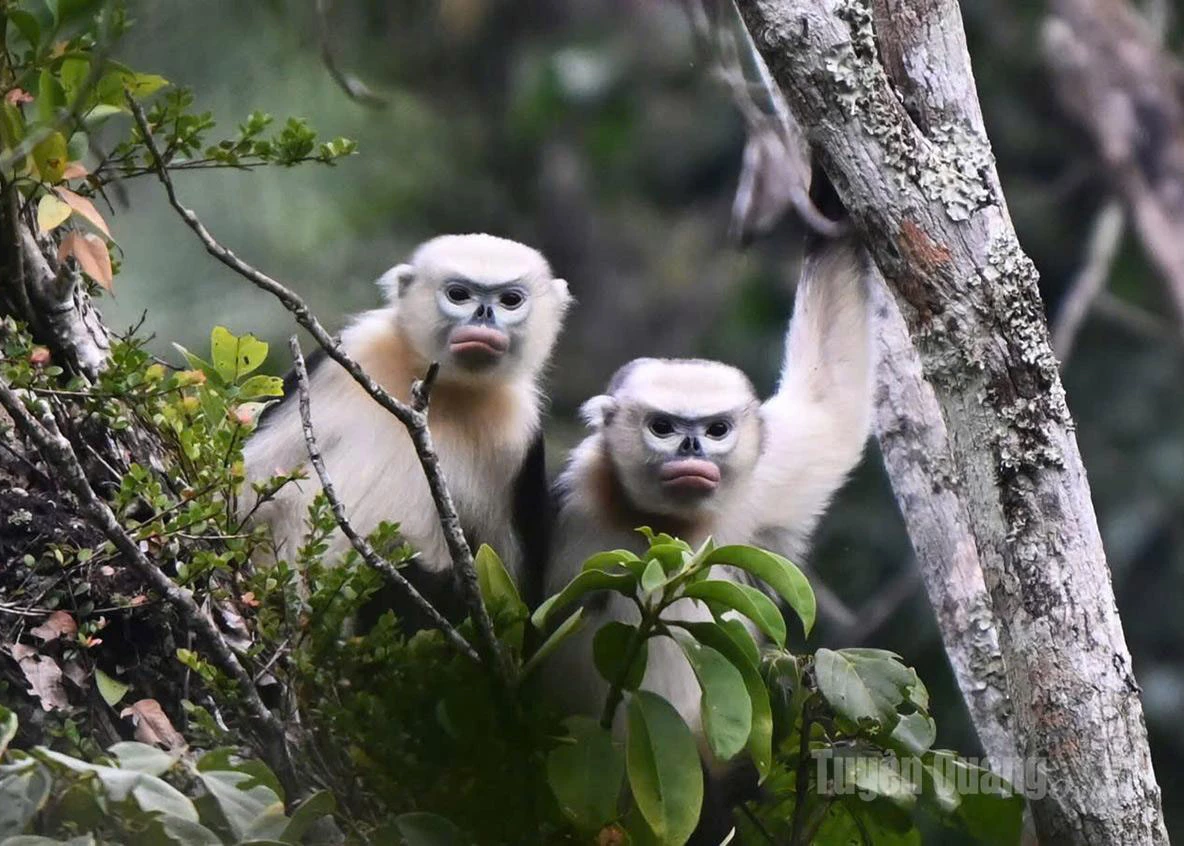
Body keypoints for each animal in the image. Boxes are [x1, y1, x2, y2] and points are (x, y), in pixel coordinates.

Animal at [242, 234, 571, 604]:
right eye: (459, 295)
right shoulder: (352, 351)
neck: (443, 391)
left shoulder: (521, 432)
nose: (484, 315)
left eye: (510, 300)